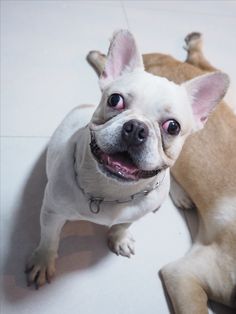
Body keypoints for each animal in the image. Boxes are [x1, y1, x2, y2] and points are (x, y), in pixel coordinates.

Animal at [25, 30, 229, 288]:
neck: (112, 191)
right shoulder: (52, 213)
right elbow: (49, 238)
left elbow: (124, 224)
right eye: (115, 100)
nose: (136, 128)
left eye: (173, 126)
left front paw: (119, 237)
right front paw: (43, 260)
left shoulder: (137, 212)